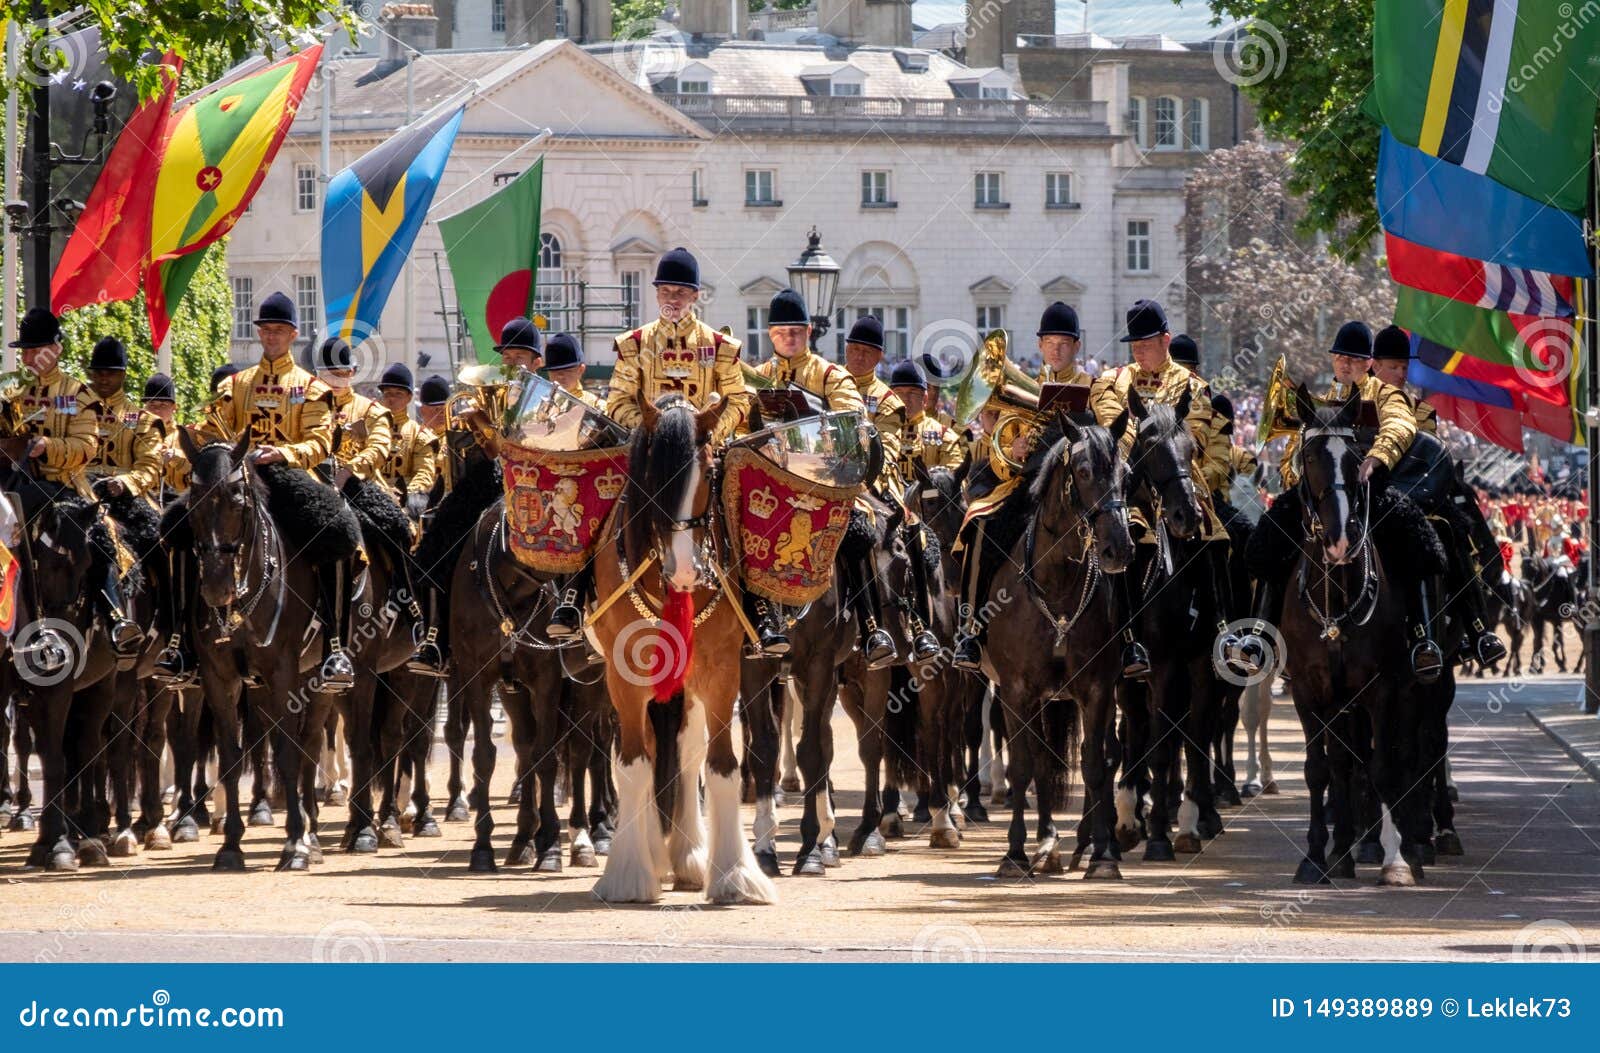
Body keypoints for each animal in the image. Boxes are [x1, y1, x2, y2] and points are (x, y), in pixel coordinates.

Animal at [588, 393, 774, 902]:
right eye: (654, 477)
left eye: (709, 472)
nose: (688, 571)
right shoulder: (624, 675)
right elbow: (633, 764)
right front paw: (628, 875)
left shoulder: (719, 669)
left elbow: (722, 765)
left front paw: (735, 875)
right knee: (649, 752)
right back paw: (654, 853)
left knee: (687, 752)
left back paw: (689, 855)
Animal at [972, 412, 1139, 870]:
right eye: (1082, 472)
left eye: (1126, 474)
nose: (1118, 549)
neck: (1059, 586)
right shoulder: (1017, 691)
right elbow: (1025, 766)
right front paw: (1014, 853)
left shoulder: (1097, 688)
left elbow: (1096, 764)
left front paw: (1102, 855)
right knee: (1042, 759)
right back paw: (1045, 840)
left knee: (1100, 754)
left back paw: (1082, 840)